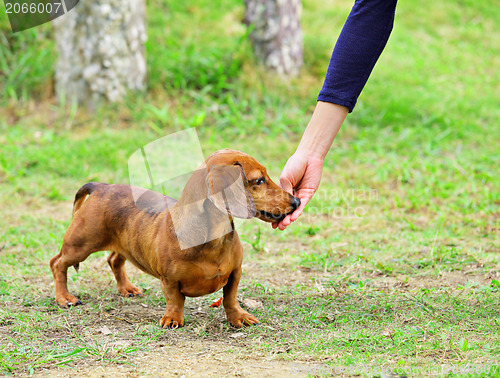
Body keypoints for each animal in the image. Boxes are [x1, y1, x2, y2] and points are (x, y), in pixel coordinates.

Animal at [49, 148, 300, 328]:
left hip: (123, 244)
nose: (297, 201)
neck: (212, 239)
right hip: (81, 244)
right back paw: (64, 297)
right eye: (259, 180)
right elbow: (175, 300)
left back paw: (127, 288)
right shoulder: (169, 279)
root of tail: (102, 186)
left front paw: (239, 317)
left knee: (113, 260)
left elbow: (230, 298)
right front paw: (172, 319)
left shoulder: (235, 273)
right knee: (57, 263)